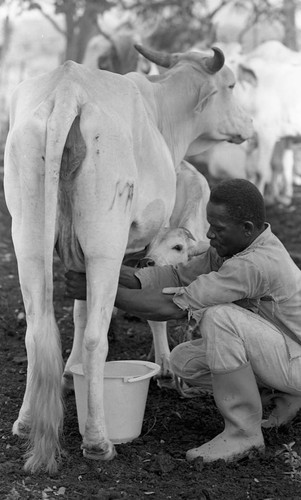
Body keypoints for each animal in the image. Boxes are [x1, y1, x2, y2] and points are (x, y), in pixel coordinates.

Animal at [3, 43, 252, 472]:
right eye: (232, 85)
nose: (250, 123)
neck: (162, 112)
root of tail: (67, 86)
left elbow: (80, 307)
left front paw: (69, 374)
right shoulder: (154, 237)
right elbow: (154, 305)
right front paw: (166, 370)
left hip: (28, 239)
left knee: (38, 332)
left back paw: (26, 421)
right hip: (105, 241)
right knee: (94, 338)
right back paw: (98, 441)